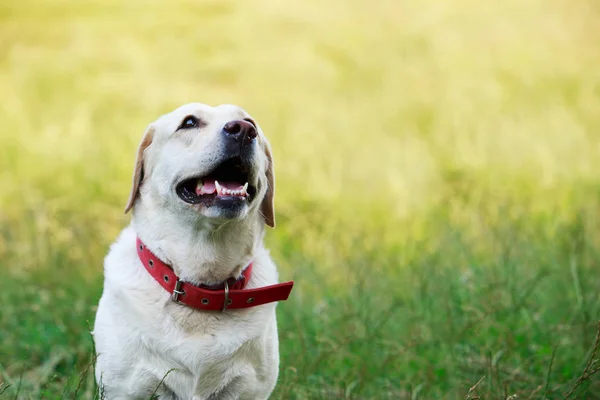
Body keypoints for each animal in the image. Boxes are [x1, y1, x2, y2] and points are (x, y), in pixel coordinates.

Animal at [91, 104, 292, 400]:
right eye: (189, 123)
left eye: (250, 122)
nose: (244, 130)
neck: (201, 287)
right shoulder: (123, 389)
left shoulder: (250, 390)